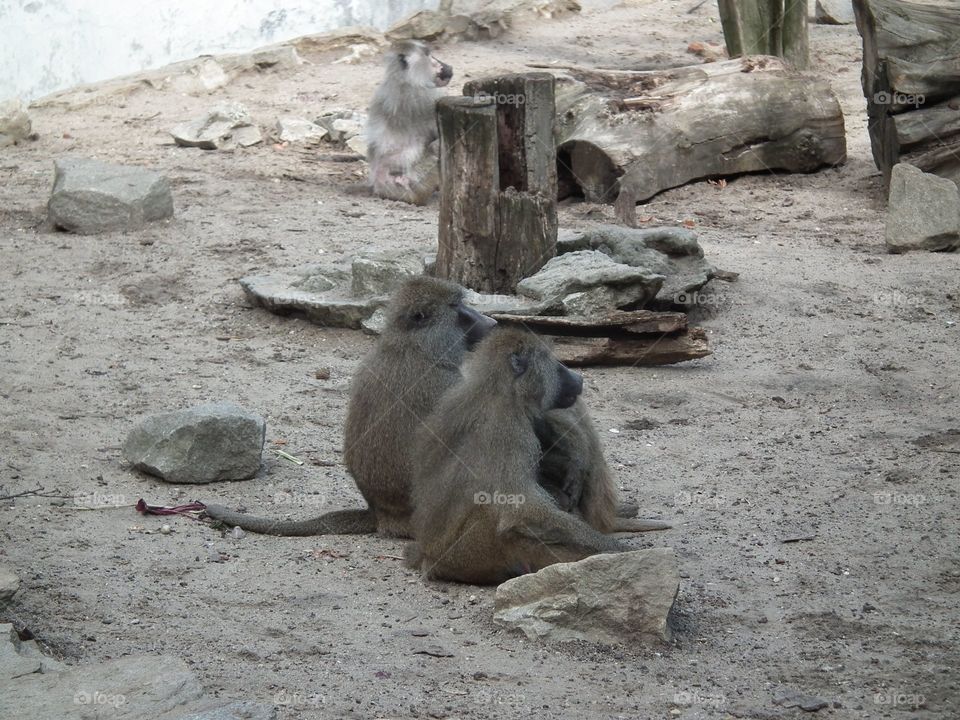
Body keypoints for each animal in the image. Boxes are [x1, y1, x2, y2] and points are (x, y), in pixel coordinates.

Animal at [365, 40, 452, 205]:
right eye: (428, 55)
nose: (447, 66)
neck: (404, 78)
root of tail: (378, 186)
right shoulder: (425, 96)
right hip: (414, 184)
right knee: (434, 148)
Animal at [405, 328, 638, 585]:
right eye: (554, 364)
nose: (579, 378)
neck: (501, 389)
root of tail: (427, 556)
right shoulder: (510, 429)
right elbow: (523, 510)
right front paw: (617, 549)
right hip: (473, 553)